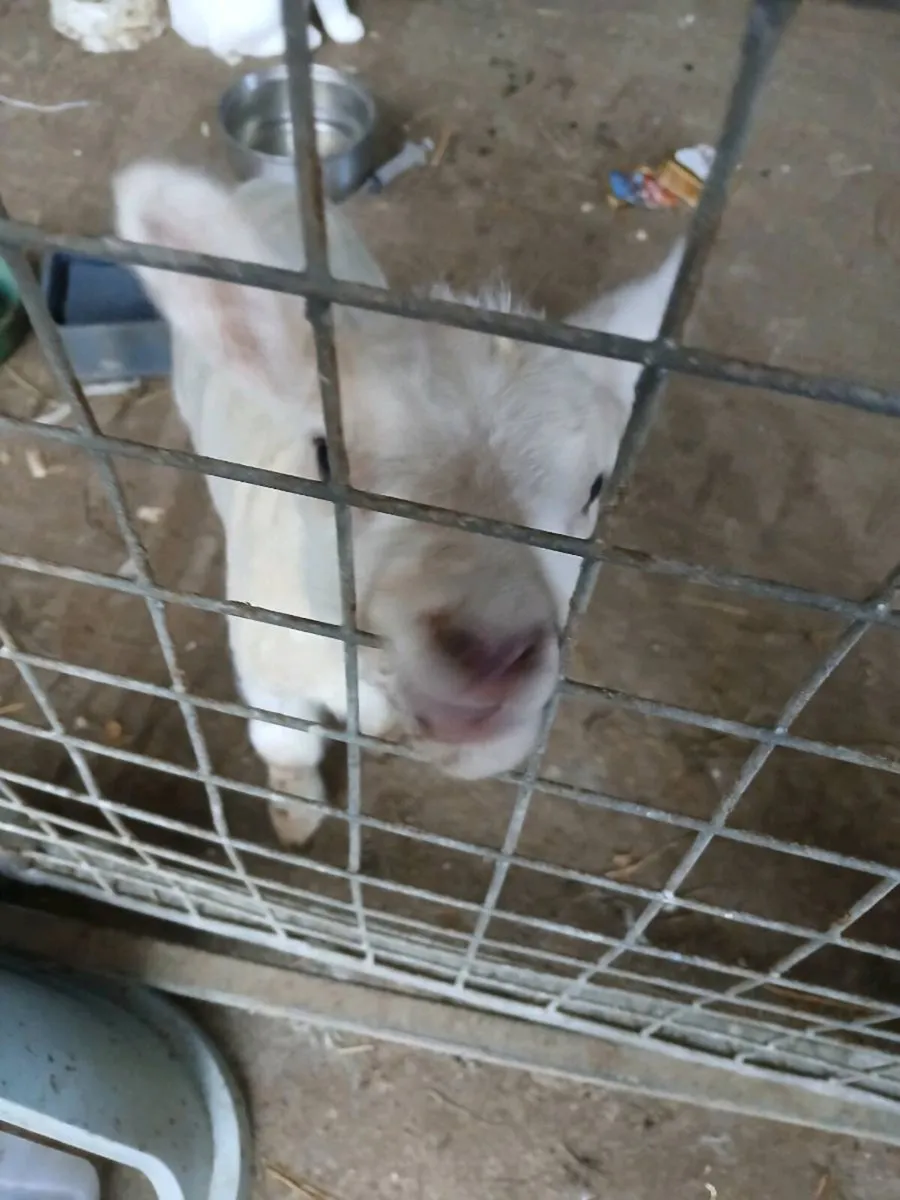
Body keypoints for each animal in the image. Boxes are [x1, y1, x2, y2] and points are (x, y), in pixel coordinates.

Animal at [114, 162, 682, 847]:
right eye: (326, 457)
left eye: (596, 487)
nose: (491, 655)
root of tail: (267, 181)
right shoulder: (265, 657)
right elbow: (285, 743)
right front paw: (296, 811)